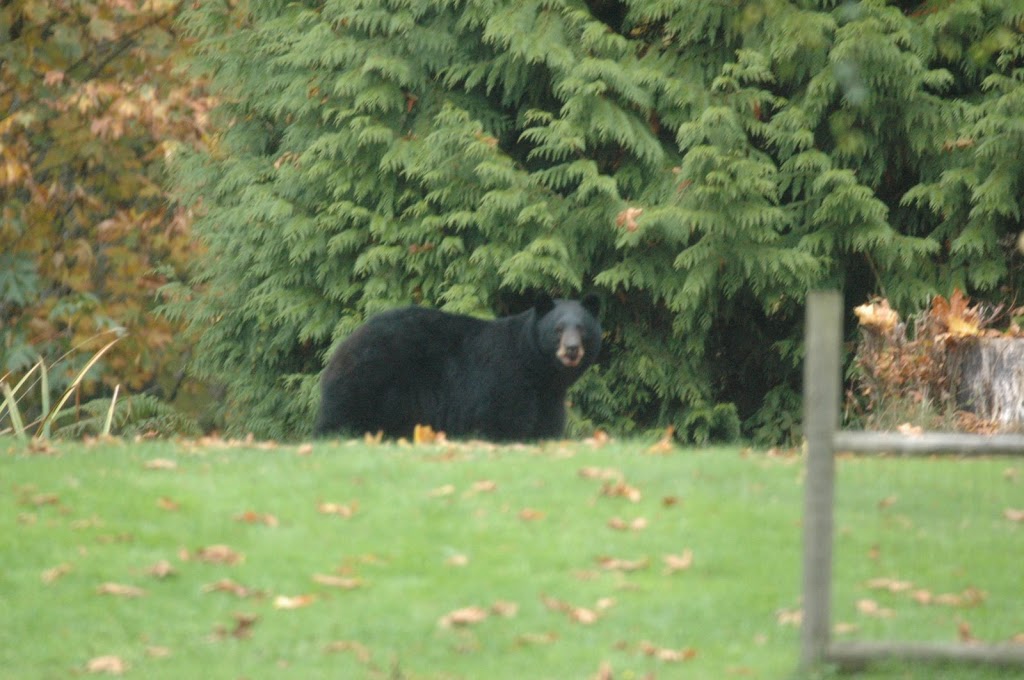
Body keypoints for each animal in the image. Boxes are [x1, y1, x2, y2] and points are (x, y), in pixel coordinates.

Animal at [311, 296, 598, 440]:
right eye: (557, 329)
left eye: (582, 328)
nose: (572, 348)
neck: (538, 371)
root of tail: (346, 343)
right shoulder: (504, 380)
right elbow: (503, 421)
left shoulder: (549, 397)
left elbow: (546, 426)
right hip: (370, 380)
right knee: (341, 415)